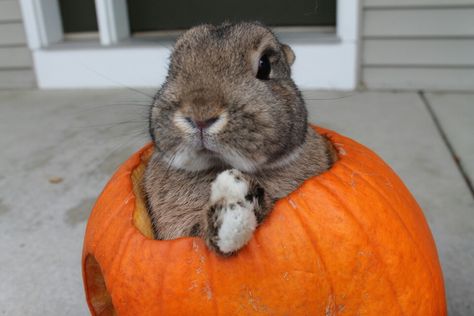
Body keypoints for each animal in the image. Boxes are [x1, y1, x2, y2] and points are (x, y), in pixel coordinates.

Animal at [143, 21, 336, 256]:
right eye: (171, 70)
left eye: (264, 65)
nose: (200, 116)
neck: (218, 165)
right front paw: (233, 202)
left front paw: (236, 192)